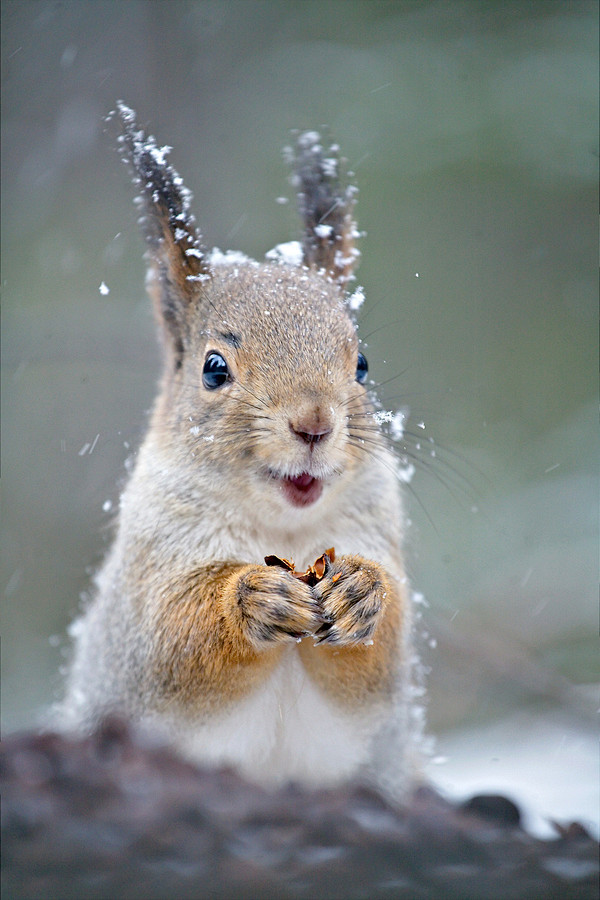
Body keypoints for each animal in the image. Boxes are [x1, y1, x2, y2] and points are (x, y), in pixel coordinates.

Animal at [58, 105, 420, 796]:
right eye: (213, 368)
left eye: (362, 363)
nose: (313, 423)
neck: (287, 531)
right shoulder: (145, 585)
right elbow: (171, 641)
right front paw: (251, 597)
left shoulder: (376, 532)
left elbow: (377, 664)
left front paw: (363, 591)